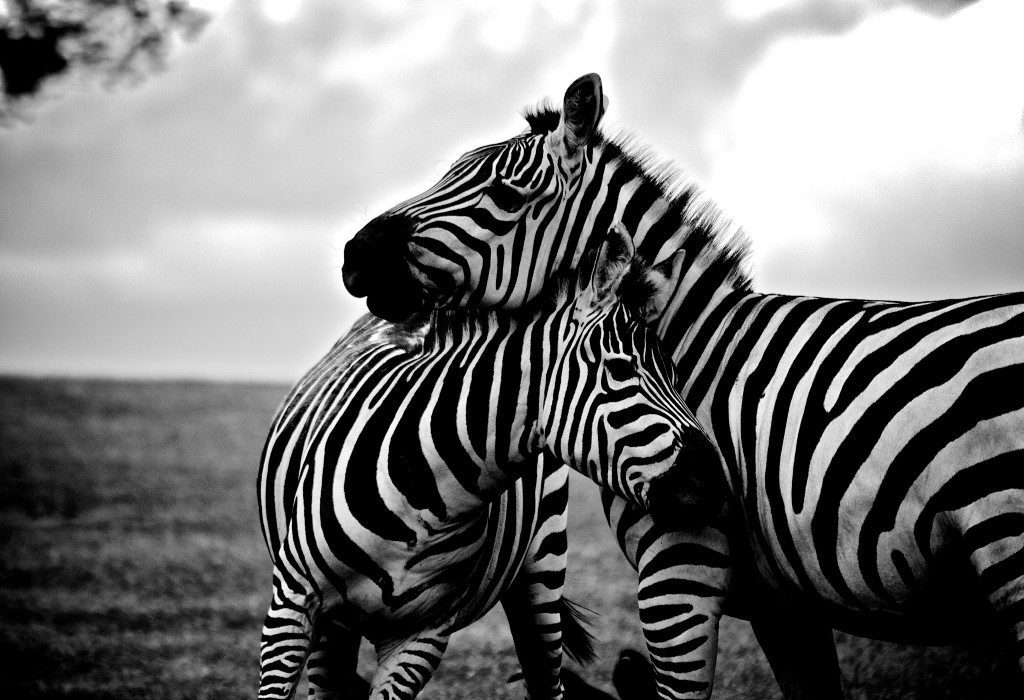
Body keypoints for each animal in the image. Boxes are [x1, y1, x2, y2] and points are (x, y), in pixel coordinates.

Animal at [260, 225, 716, 700]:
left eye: (677, 376)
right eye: (621, 370)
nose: (714, 480)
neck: (422, 493)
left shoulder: (422, 633)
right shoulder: (292, 603)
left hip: (541, 572)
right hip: (334, 627)